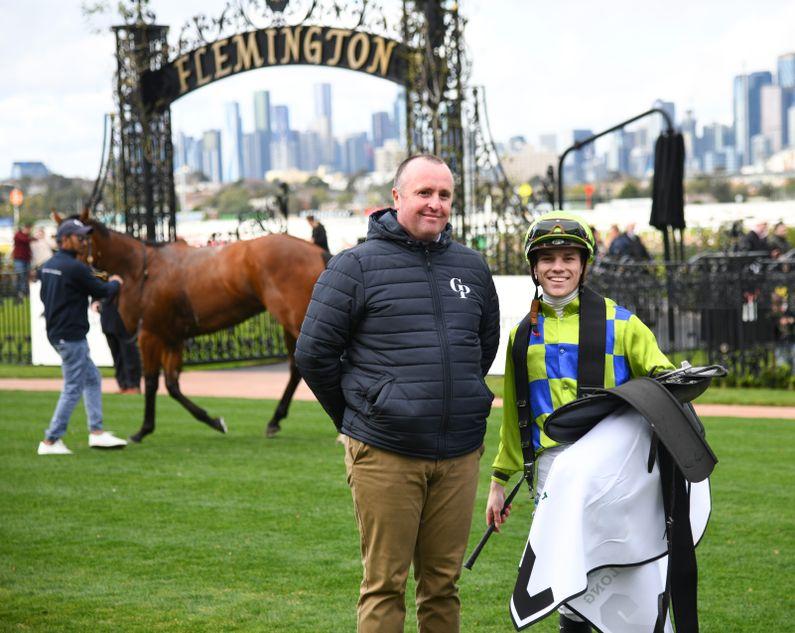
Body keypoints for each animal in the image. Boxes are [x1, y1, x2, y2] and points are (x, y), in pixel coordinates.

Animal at [57, 210, 328, 442]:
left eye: (81, 239)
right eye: (58, 238)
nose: (66, 264)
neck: (143, 269)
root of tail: (315, 250)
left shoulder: (150, 334)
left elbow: (152, 382)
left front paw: (142, 430)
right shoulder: (172, 337)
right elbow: (172, 385)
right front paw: (214, 421)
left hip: (294, 317)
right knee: (296, 368)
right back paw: (275, 420)